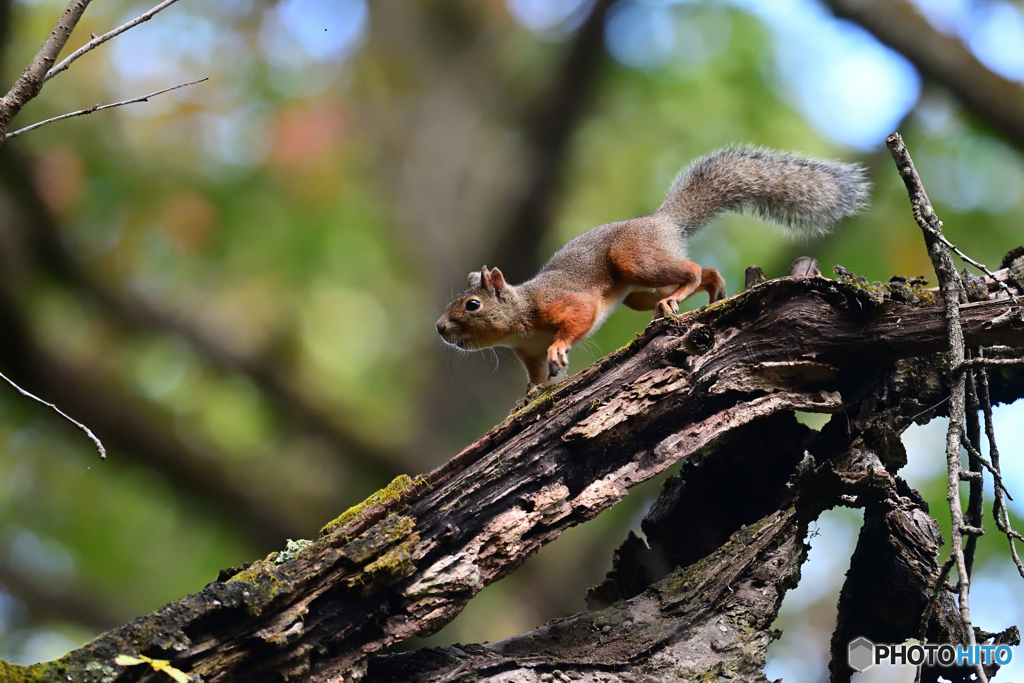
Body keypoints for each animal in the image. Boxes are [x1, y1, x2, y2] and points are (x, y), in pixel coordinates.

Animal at [436, 146, 868, 387]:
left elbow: (578, 316)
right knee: (706, 272)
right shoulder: (527, 353)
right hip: (638, 292)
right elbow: (536, 377)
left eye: (472, 305)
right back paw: (711, 293)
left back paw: (678, 299)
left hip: (634, 258)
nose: (440, 329)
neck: (522, 314)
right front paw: (530, 396)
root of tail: (663, 221)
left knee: (691, 269)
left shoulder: (563, 302)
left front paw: (559, 349)